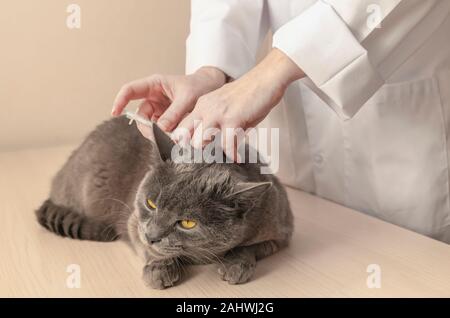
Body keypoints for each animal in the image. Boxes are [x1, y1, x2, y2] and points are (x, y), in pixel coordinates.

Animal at [36, 116, 296, 288]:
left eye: (188, 223)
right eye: (151, 203)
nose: (152, 235)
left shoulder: (280, 230)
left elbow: (248, 247)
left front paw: (235, 265)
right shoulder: (134, 221)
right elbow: (146, 246)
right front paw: (159, 270)